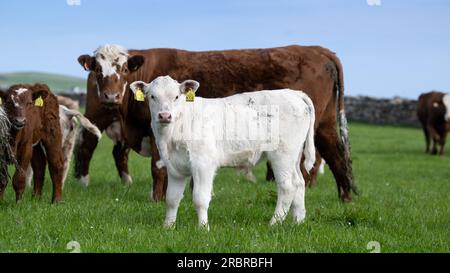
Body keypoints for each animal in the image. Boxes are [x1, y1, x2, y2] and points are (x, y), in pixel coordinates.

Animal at [128, 75, 314, 228]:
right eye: (152, 96)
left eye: (176, 96)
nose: (164, 115)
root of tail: (293, 93)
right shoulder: (174, 167)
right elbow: (172, 199)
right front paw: (168, 227)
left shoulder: (203, 164)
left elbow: (200, 199)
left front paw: (203, 228)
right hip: (295, 156)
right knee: (299, 182)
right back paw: (298, 221)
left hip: (282, 155)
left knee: (287, 186)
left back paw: (274, 223)